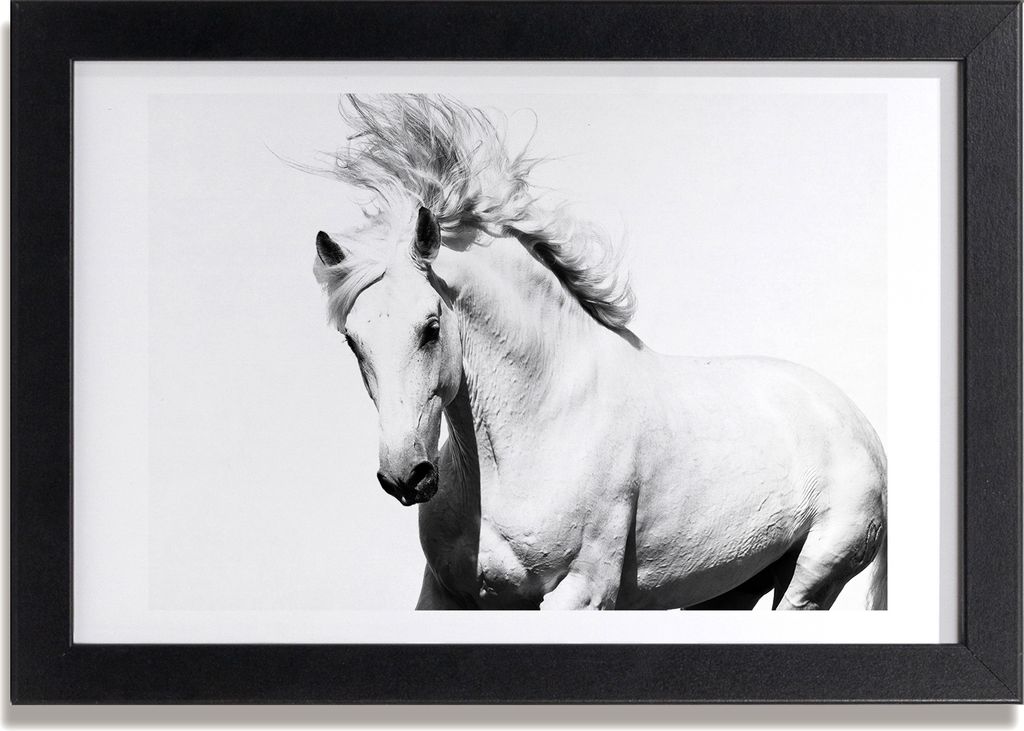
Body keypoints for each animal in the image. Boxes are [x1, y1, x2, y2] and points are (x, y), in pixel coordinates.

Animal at [312, 94, 887, 610]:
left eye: (431, 328)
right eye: (353, 340)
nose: (405, 477)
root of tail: (858, 423)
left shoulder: (582, 592)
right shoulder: (447, 596)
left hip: (811, 582)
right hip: (730, 591)